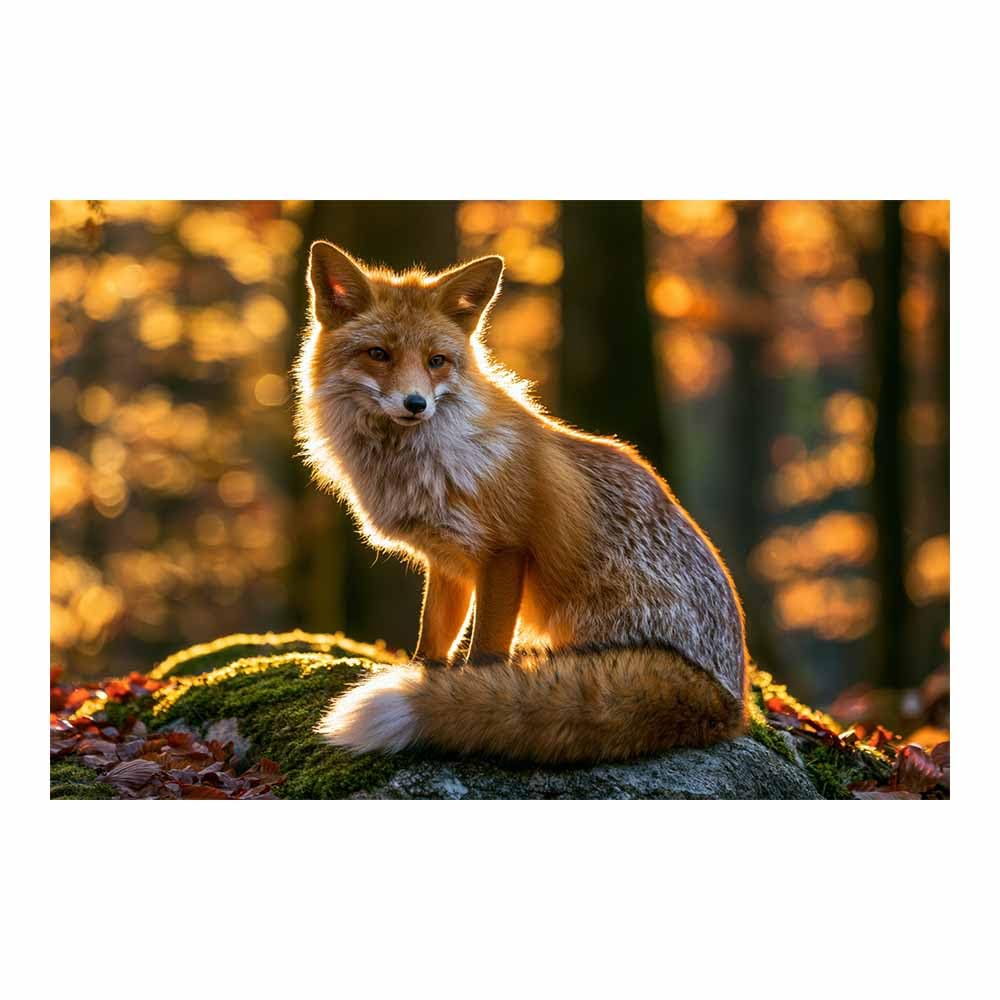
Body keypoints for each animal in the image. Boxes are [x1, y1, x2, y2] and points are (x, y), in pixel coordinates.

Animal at [294, 241, 748, 764]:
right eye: (378, 354)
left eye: (436, 361)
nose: (416, 404)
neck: (421, 463)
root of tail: (731, 703)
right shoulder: (446, 561)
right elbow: (434, 639)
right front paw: (423, 676)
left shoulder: (506, 552)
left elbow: (486, 653)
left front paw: (468, 693)